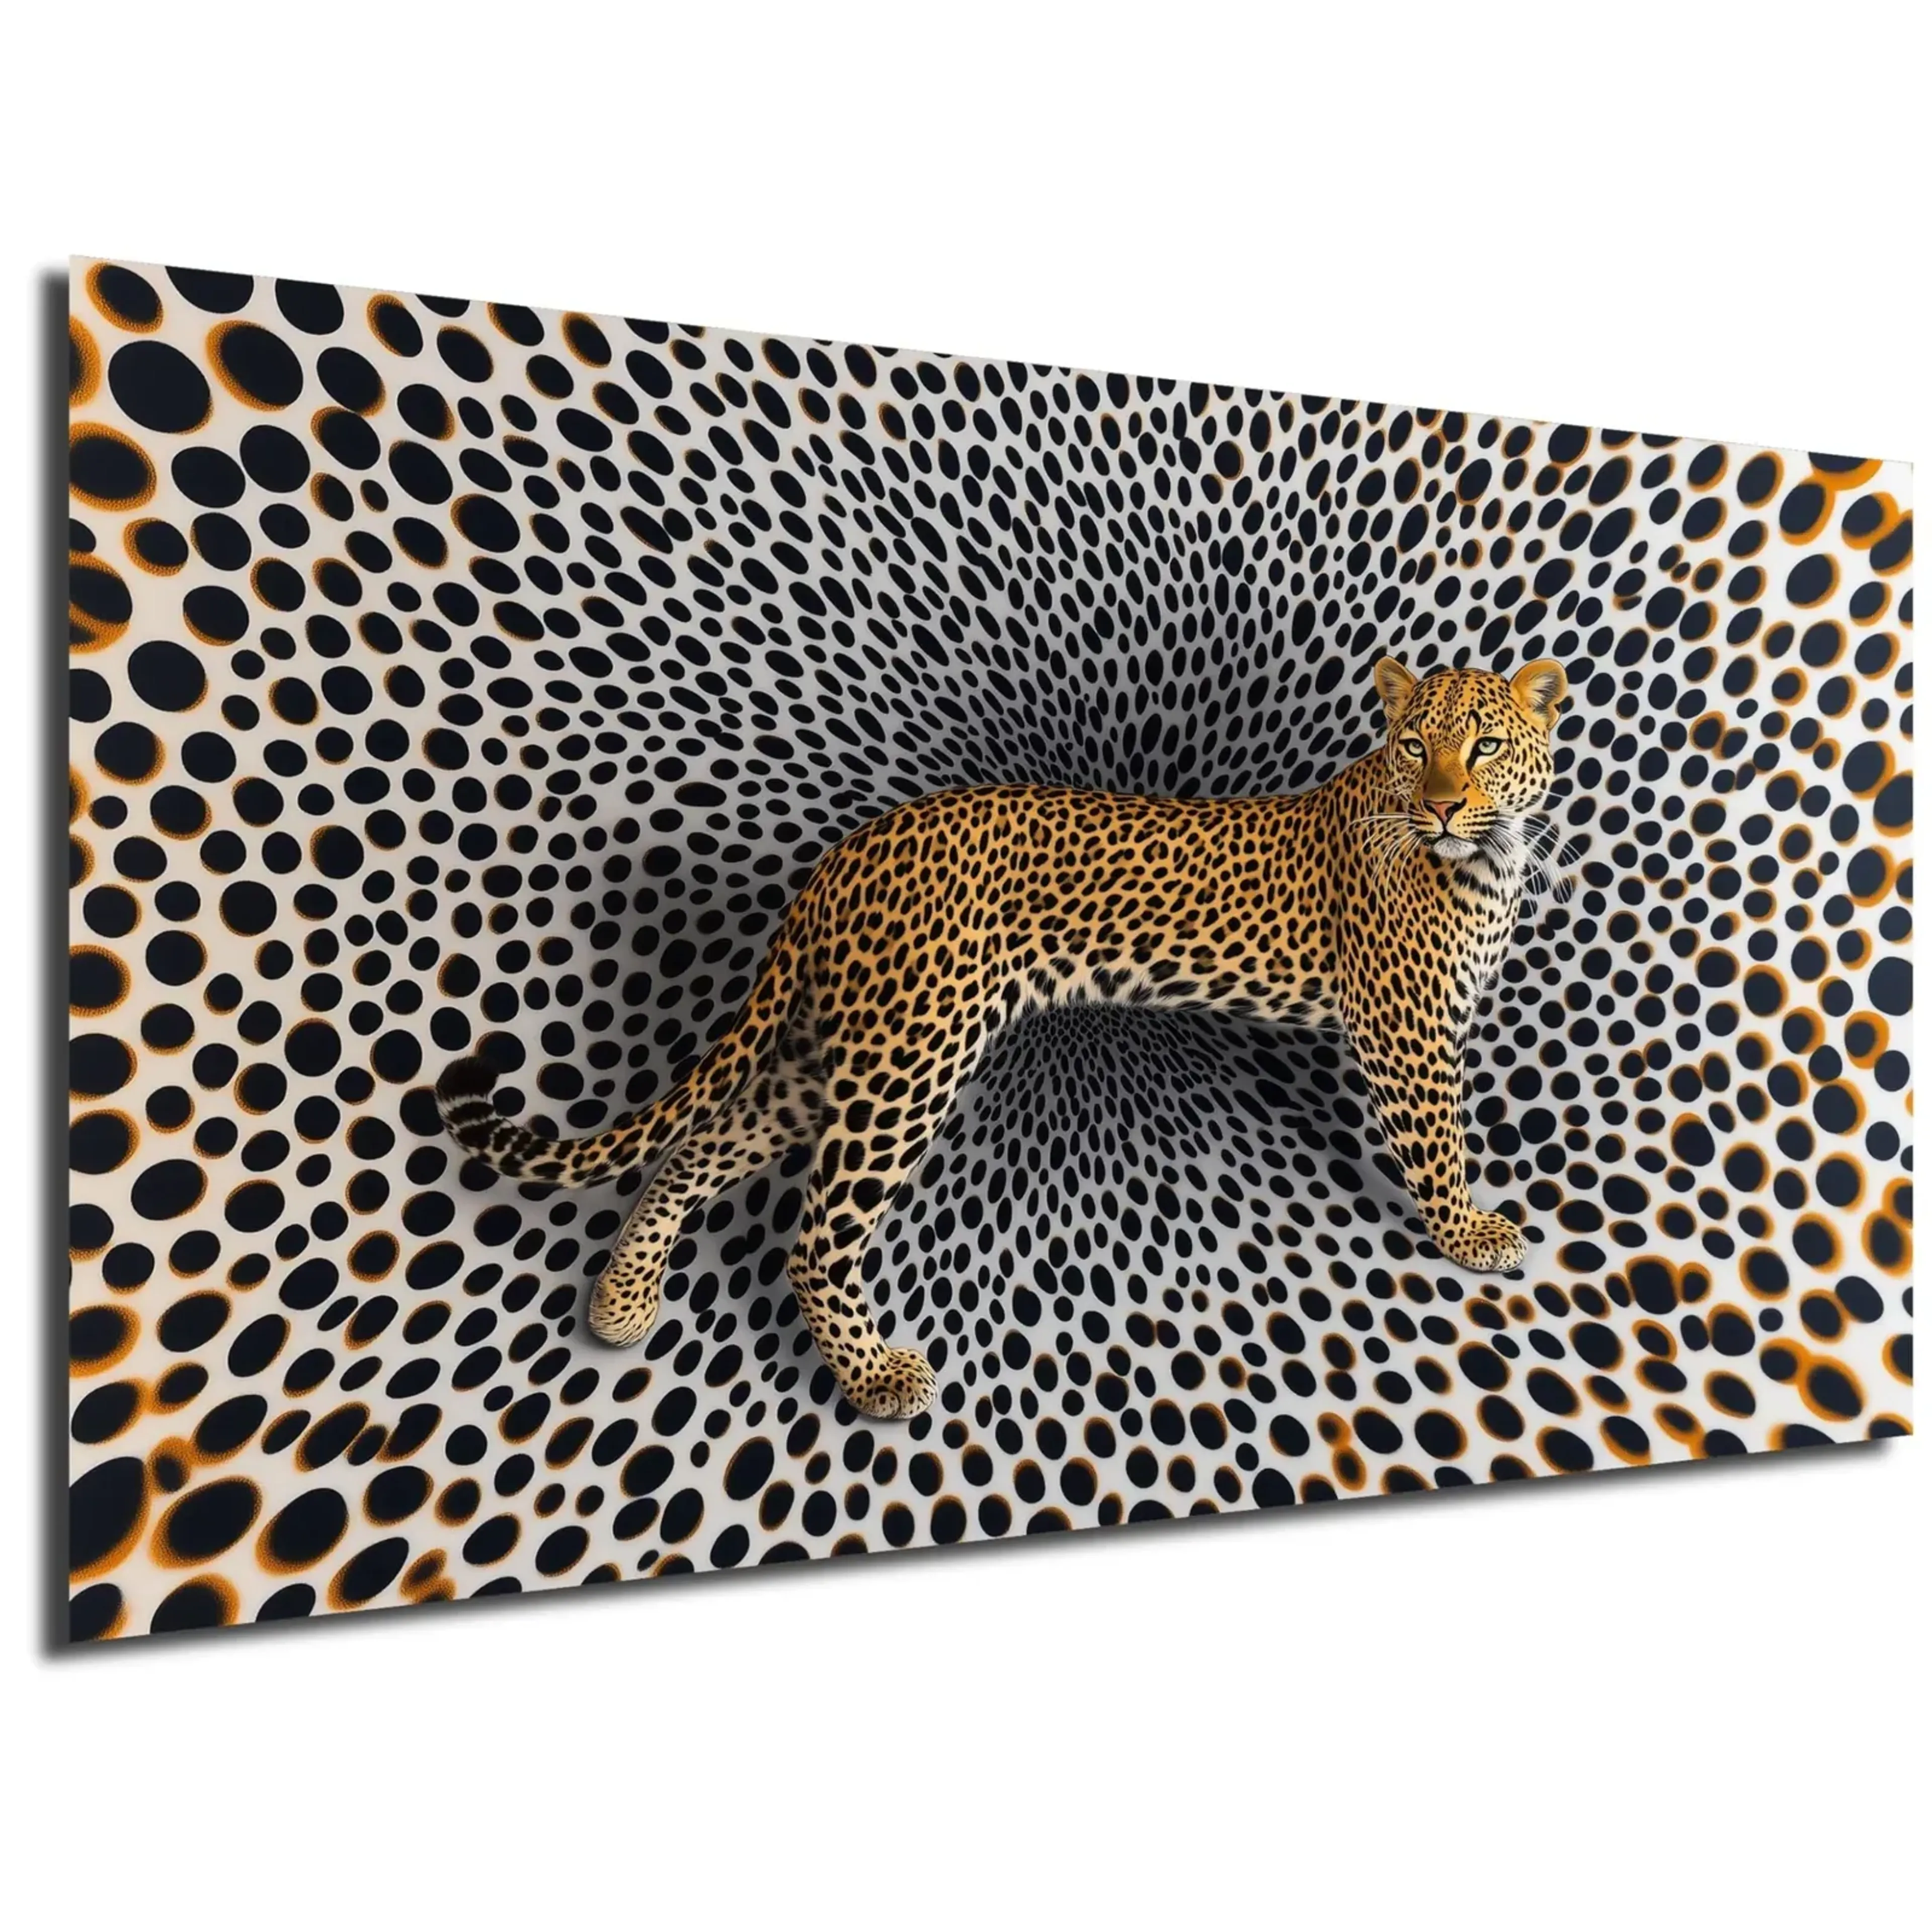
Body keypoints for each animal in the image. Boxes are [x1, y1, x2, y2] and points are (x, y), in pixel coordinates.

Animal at [437, 655, 1571, 1421]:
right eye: (1417, 746)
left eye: (1485, 745)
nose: (1444, 806)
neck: (1488, 859)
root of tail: (844, 855)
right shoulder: (1406, 1028)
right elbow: (1437, 1142)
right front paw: (1472, 1235)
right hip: (909, 1055)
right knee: (813, 1236)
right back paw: (876, 1377)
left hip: (833, 1053)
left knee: (696, 1148)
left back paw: (622, 1304)